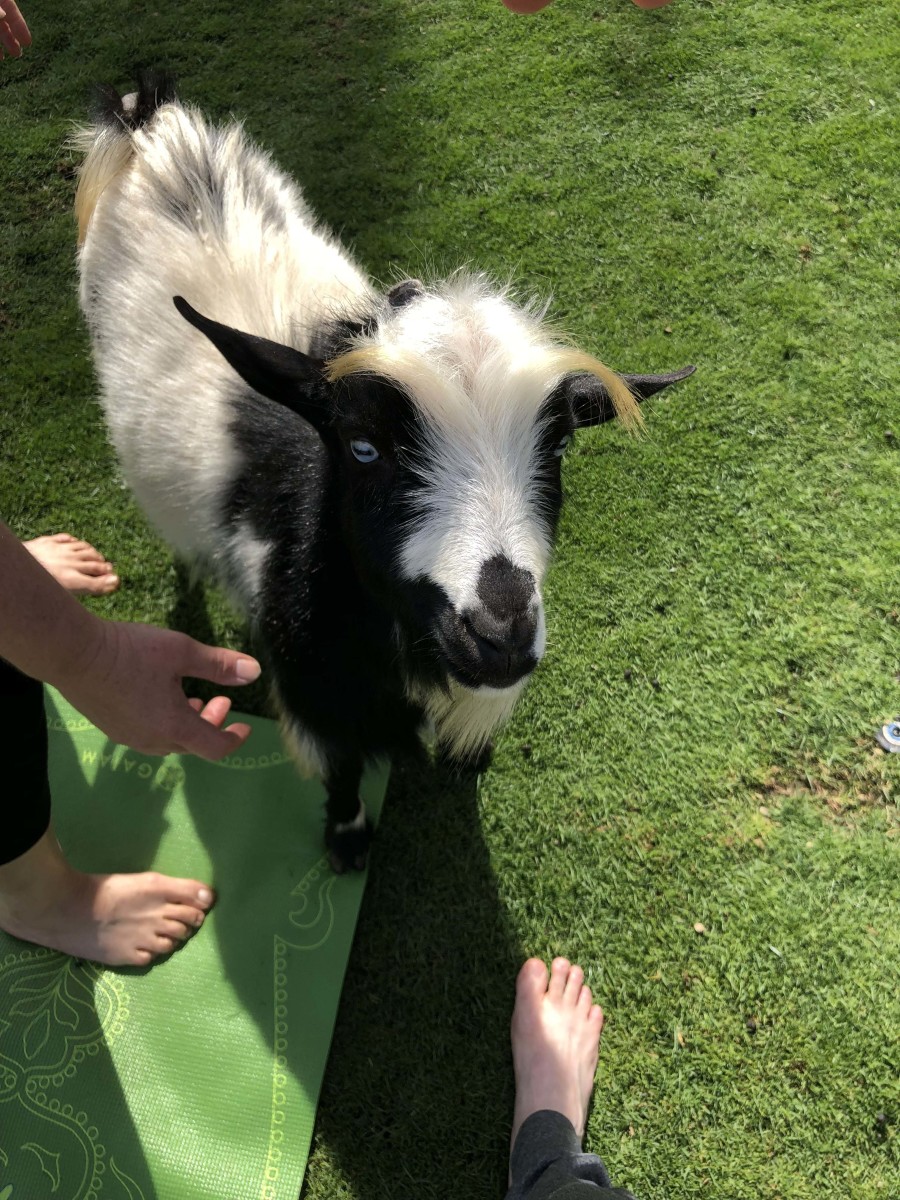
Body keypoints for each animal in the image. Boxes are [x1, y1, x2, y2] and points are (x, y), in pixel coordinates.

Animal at [74, 77, 694, 871]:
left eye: (559, 446)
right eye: (363, 448)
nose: (500, 635)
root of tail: (151, 129)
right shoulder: (316, 703)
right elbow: (339, 776)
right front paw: (346, 842)